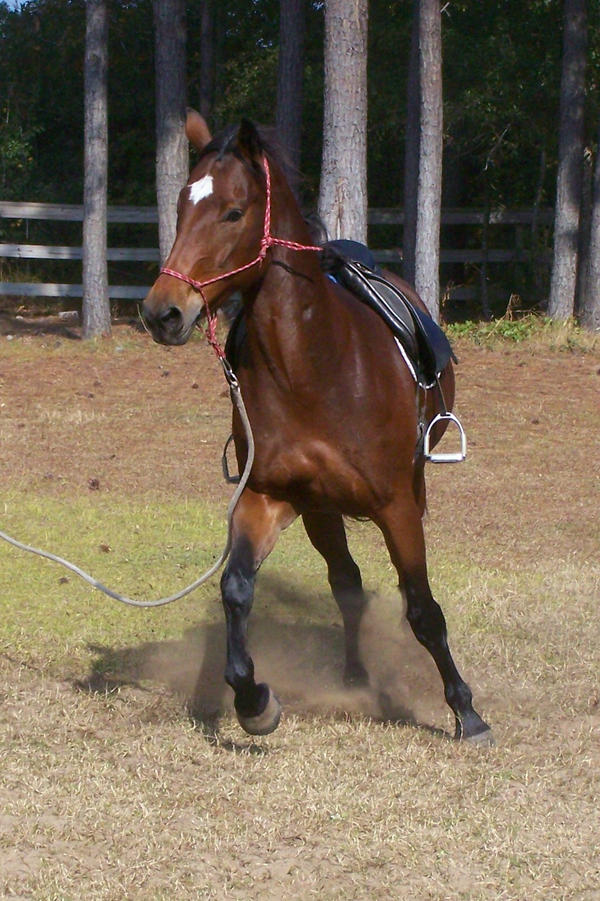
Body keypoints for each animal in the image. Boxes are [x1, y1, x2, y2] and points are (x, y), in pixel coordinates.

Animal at [142, 112, 492, 744]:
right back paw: (353, 676)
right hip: (321, 513)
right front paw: (254, 699)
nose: (163, 312)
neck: (313, 367)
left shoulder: (397, 505)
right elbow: (237, 589)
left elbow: (423, 609)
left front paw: (467, 712)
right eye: (180, 206)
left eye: (233, 212)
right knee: (346, 584)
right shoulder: (268, 497)